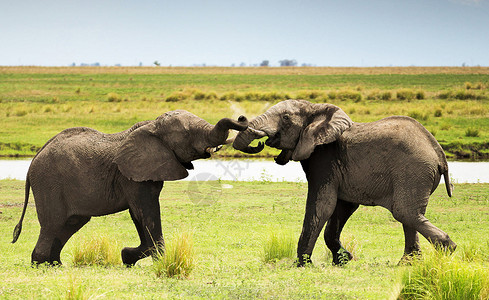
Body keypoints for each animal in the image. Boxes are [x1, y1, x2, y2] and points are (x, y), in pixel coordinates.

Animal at [11, 110, 248, 264]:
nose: (242, 118)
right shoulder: (132, 177)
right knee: (53, 224)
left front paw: (129, 256)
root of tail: (34, 157)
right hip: (49, 182)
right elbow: (146, 211)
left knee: (70, 224)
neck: (152, 126)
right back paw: (42, 265)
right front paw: (154, 259)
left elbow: (138, 214)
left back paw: (55, 264)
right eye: (187, 134)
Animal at [233, 99, 454, 264]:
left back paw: (448, 250)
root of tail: (439, 154)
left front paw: (302, 264)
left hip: (413, 171)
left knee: (404, 212)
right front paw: (344, 260)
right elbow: (341, 208)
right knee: (410, 215)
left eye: (285, 118)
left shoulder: (324, 159)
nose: (242, 118)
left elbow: (322, 205)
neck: (315, 109)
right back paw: (409, 263)